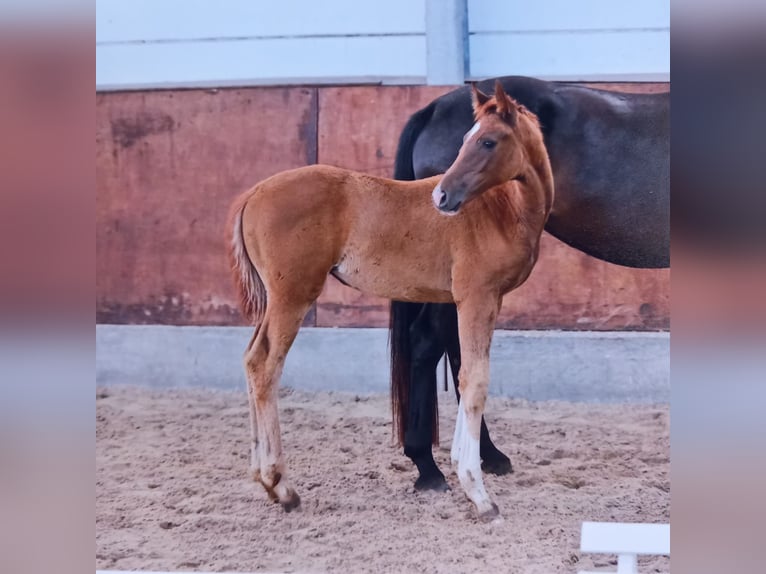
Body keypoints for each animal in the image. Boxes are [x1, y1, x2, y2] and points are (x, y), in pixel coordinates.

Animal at [226, 83, 552, 524]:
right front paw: (478, 493)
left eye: (487, 140)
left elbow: (463, 374)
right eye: (467, 139)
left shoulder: (477, 301)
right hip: (291, 296)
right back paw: (282, 485)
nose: (442, 196)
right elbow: (474, 380)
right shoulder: (476, 297)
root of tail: (253, 194)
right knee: (266, 367)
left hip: (276, 301)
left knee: (250, 359)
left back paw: (267, 481)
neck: (501, 210)